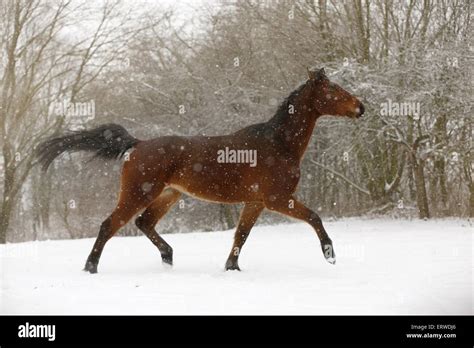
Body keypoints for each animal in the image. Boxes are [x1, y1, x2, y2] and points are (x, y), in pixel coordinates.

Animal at [37, 68, 364, 274]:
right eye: (333, 89)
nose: (361, 107)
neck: (278, 143)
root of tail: (138, 145)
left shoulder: (256, 202)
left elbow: (241, 236)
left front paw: (232, 268)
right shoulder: (276, 199)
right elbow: (314, 217)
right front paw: (330, 255)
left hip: (169, 194)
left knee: (144, 222)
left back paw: (168, 258)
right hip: (138, 193)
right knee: (110, 224)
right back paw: (90, 267)